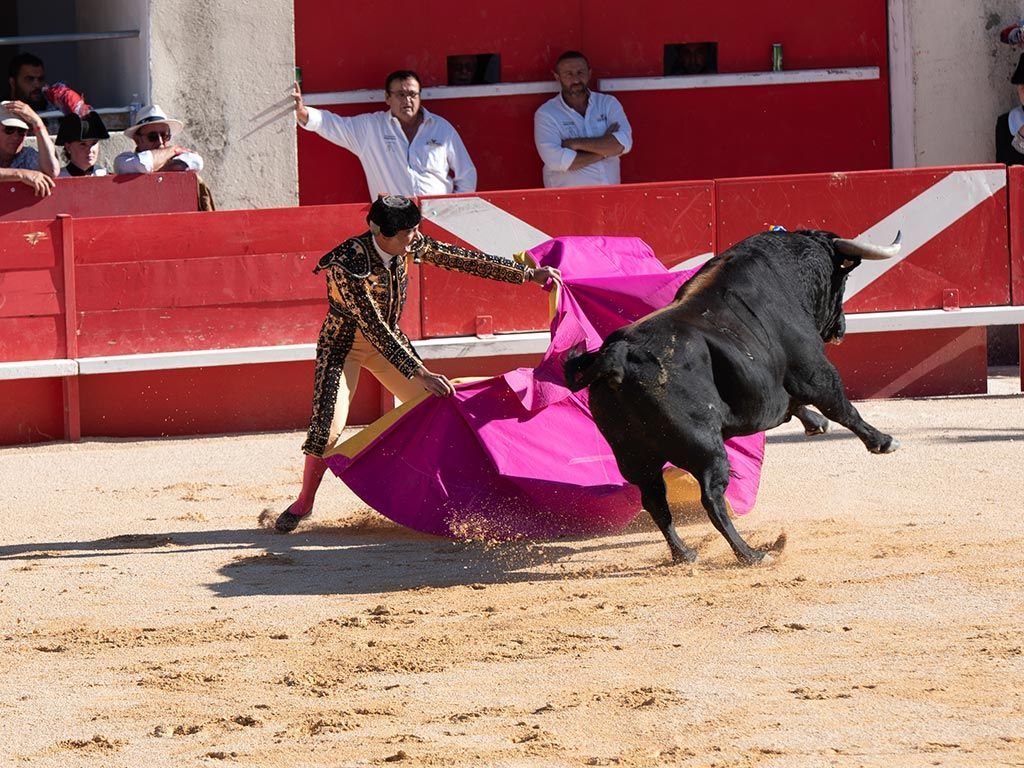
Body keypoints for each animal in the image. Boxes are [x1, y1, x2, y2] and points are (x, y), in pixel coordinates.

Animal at [565, 228, 901, 565]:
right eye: (841, 282)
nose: (840, 329)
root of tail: (618, 356)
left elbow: (799, 405)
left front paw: (815, 423)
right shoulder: (814, 371)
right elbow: (841, 407)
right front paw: (883, 441)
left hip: (633, 456)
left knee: (655, 500)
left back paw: (685, 553)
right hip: (705, 447)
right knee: (712, 498)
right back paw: (751, 554)